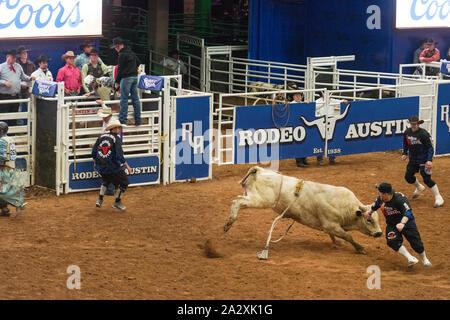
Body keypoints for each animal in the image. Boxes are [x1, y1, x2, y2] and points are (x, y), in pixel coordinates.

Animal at [223, 166, 382, 258]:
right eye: (369, 219)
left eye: (377, 219)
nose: (379, 233)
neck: (344, 206)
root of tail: (259, 170)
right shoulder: (331, 224)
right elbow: (348, 236)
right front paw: (360, 249)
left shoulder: (329, 226)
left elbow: (335, 236)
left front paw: (337, 242)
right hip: (261, 199)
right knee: (237, 201)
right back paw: (229, 223)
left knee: (239, 201)